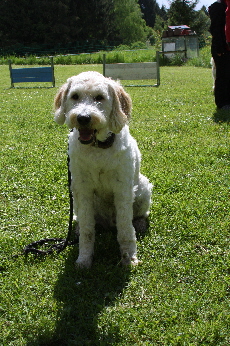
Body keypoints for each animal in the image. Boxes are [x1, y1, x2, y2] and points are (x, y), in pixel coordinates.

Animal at [53, 71, 152, 268]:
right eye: (75, 96)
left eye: (99, 97)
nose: (83, 118)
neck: (98, 147)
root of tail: (108, 223)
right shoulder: (82, 189)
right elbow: (87, 230)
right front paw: (84, 259)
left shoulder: (122, 190)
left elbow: (125, 229)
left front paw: (129, 257)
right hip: (76, 198)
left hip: (143, 186)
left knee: (139, 215)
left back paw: (139, 224)